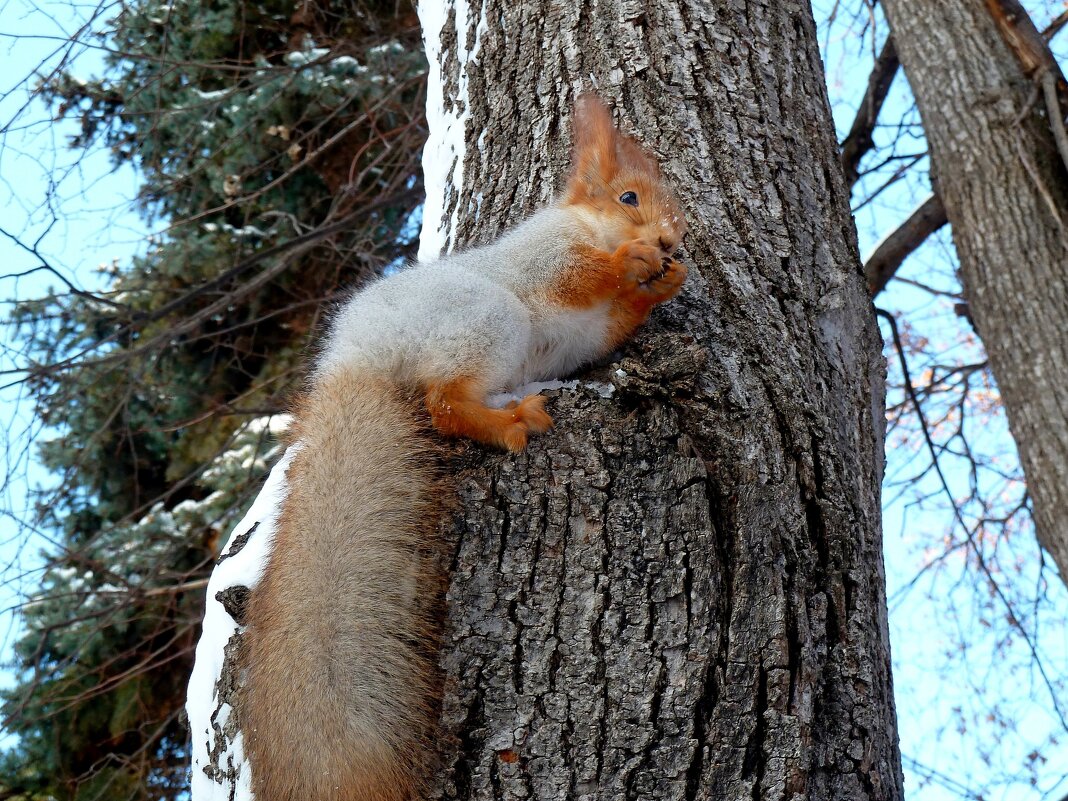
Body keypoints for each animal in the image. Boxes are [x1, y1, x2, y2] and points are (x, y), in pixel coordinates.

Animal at [238, 95, 687, 801]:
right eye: (628, 196)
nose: (673, 238)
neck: (588, 227)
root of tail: (362, 357)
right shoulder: (545, 260)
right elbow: (583, 276)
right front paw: (635, 263)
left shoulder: (599, 330)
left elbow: (617, 320)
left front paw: (666, 281)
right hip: (485, 319)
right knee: (443, 405)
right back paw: (512, 422)